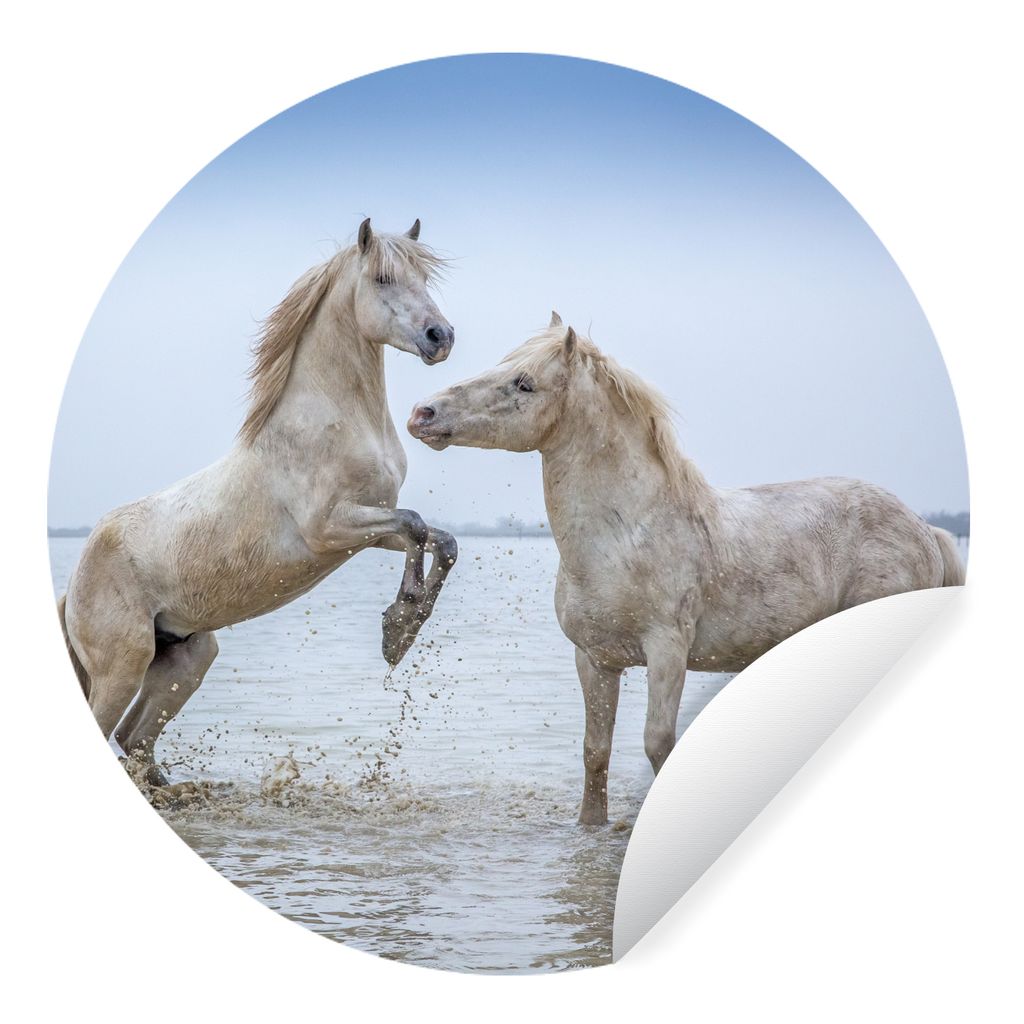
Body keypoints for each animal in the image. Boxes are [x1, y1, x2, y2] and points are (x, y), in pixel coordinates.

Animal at [58, 218, 459, 787]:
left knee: (135, 739)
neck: (332, 421)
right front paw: (397, 629)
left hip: (188, 657)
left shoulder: (366, 532)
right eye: (383, 278)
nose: (440, 337)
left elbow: (437, 538)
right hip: (122, 666)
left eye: (423, 276)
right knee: (113, 730)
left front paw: (400, 631)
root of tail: (73, 585)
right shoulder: (329, 529)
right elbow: (417, 524)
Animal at [407, 314, 965, 825]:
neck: (627, 534)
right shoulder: (595, 660)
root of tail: (925, 530)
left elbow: (659, 744)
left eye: (523, 383)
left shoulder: (667, 650)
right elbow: (595, 752)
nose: (422, 412)